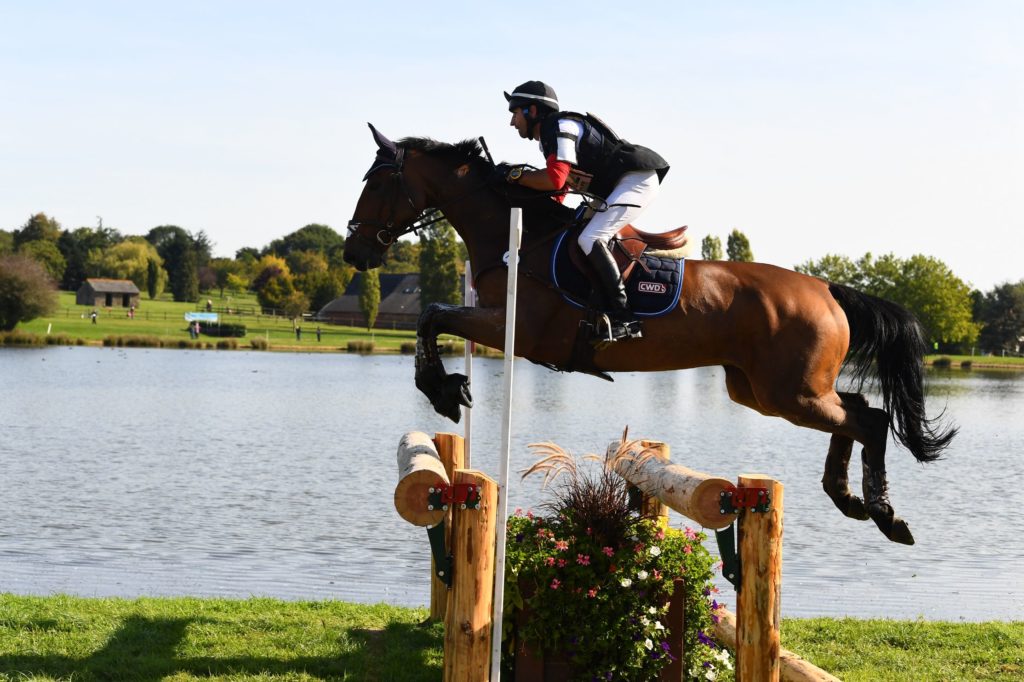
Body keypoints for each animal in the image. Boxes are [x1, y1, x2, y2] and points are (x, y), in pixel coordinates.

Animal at [346, 123, 958, 540]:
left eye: (376, 182)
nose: (354, 251)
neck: (518, 237)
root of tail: (828, 289)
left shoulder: (518, 328)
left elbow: (433, 315)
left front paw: (443, 391)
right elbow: (433, 316)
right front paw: (448, 390)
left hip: (791, 391)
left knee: (868, 418)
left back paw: (882, 512)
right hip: (765, 391)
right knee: (854, 410)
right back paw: (846, 496)